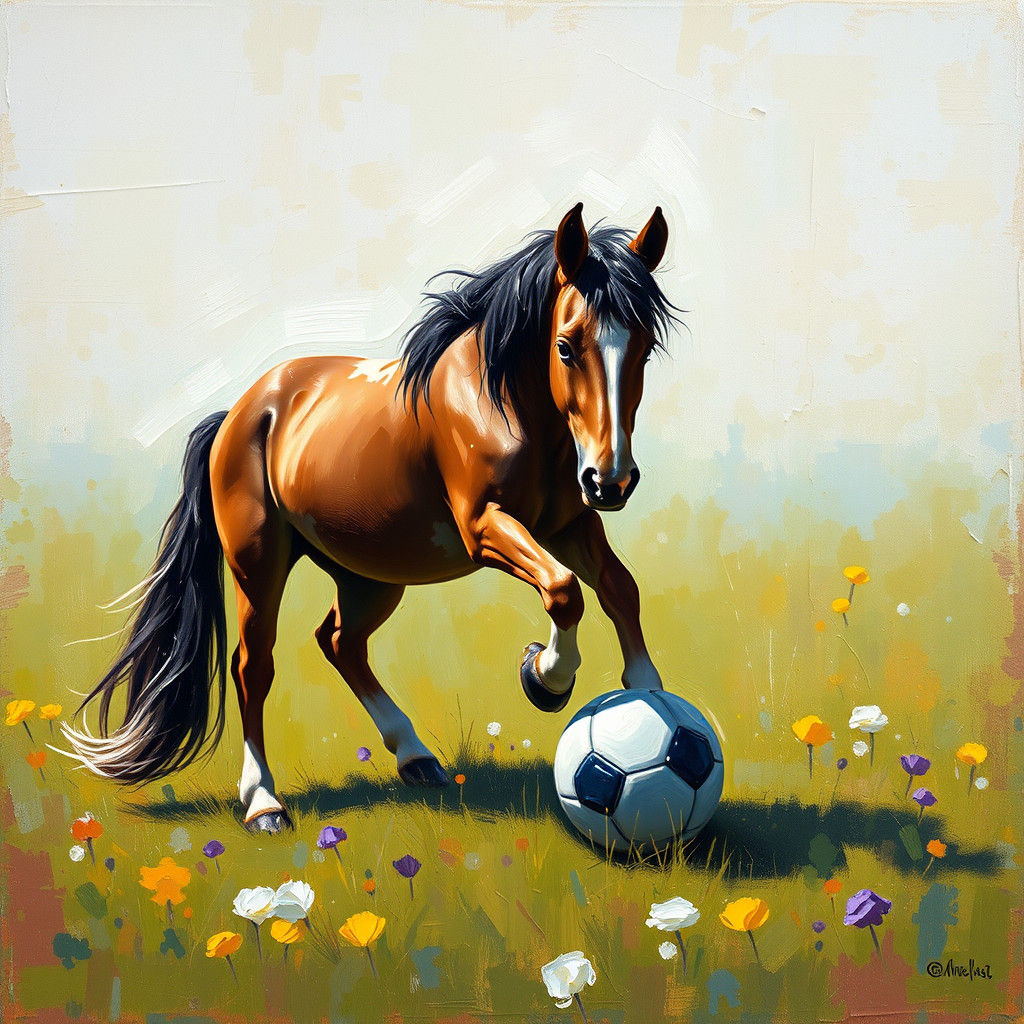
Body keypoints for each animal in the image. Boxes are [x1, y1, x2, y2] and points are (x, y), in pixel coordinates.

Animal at [63, 203, 680, 833]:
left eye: (645, 347)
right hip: (258, 566)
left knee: (339, 641)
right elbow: (563, 589)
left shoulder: (569, 525)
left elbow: (618, 588)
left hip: (372, 574)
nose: (611, 480)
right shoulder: (486, 527)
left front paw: (649, 694)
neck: (504, 403)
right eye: (565, 346)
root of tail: (240, 412)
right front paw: (545, 677)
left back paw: (416, 758)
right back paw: (263, 803)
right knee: (253, 665)